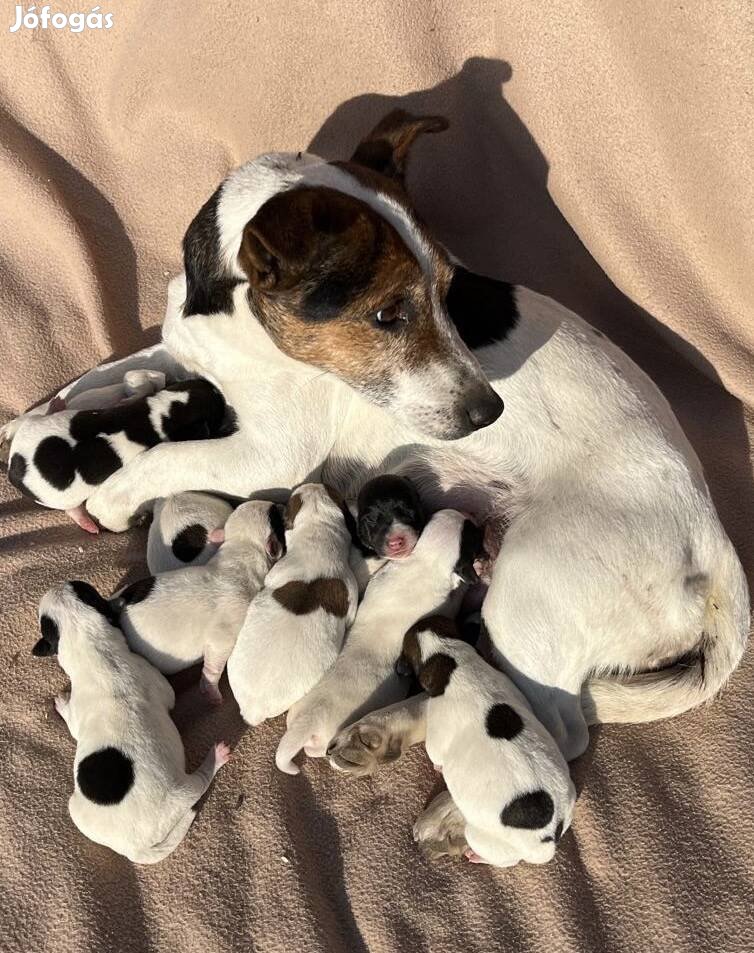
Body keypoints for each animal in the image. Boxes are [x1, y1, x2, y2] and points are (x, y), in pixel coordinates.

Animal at [35, 580, 229, 864]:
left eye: (81, 588)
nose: (62, 582)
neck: (95, 652)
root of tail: (133, 849)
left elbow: (71, 720)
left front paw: (61, 702)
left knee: (201, 782)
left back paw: (215, 758)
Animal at [276, 506, 482, 772]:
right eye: (472, 532)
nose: (470, 511)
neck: (423, 562)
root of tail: (307, 722)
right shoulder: (447, 604)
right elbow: (459, 590)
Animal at [400, 616, 576, 872]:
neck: (450, 659)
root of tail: (547, 841)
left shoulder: (437, 735)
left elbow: (436, 756)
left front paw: (438, 768)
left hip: (481, 839)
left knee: (505, 859)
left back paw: (477, 856)